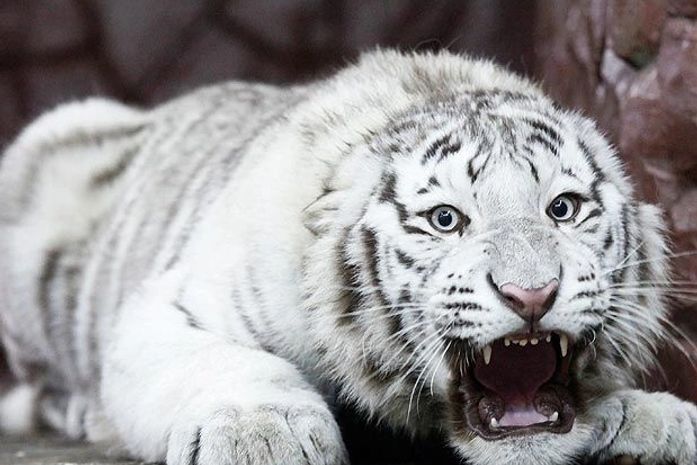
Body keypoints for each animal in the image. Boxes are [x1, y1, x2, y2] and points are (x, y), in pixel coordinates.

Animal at [0, 49, 695, 465]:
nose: (532, 295)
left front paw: (653, 417)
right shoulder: (175, 305)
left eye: (564, 209)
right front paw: (261, 434)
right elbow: (225, 363)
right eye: (446, 220)